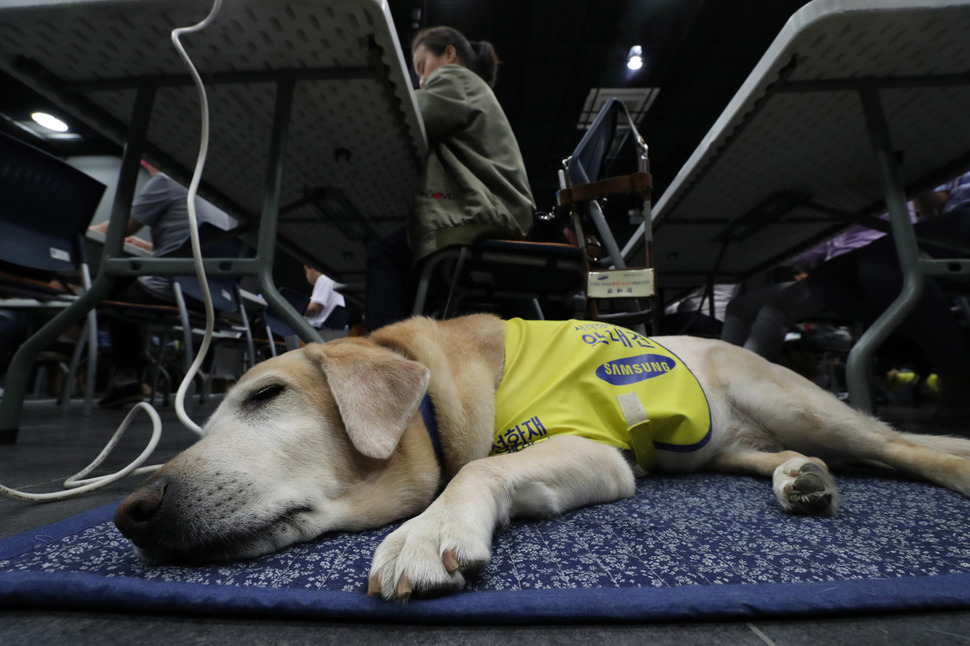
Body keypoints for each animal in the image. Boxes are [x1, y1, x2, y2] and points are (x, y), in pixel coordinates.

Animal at [117, 314, 968, 604]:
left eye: (266, 395)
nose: (131, 511)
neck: (436, 390)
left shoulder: (594, 451)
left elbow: (475, 468)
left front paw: (429, 532)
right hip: (714, 452)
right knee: (781, 456)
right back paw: (801, 480)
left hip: (800, 403)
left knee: (905, 445)